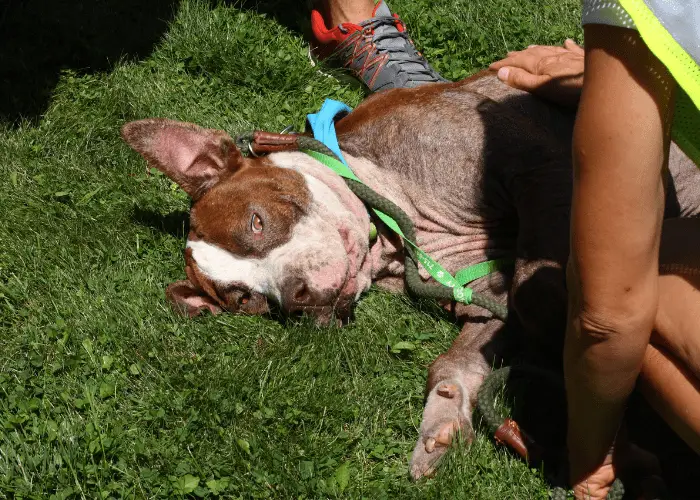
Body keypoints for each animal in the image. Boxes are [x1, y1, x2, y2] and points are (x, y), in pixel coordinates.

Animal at [120, 72, 700, 478]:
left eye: (256, 222)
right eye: (246, 301)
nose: (296, 298)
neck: (400, 224)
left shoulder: (541, 155)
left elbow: (540, 296)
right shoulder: (482, 295)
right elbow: (459, 356)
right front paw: (442, 419)